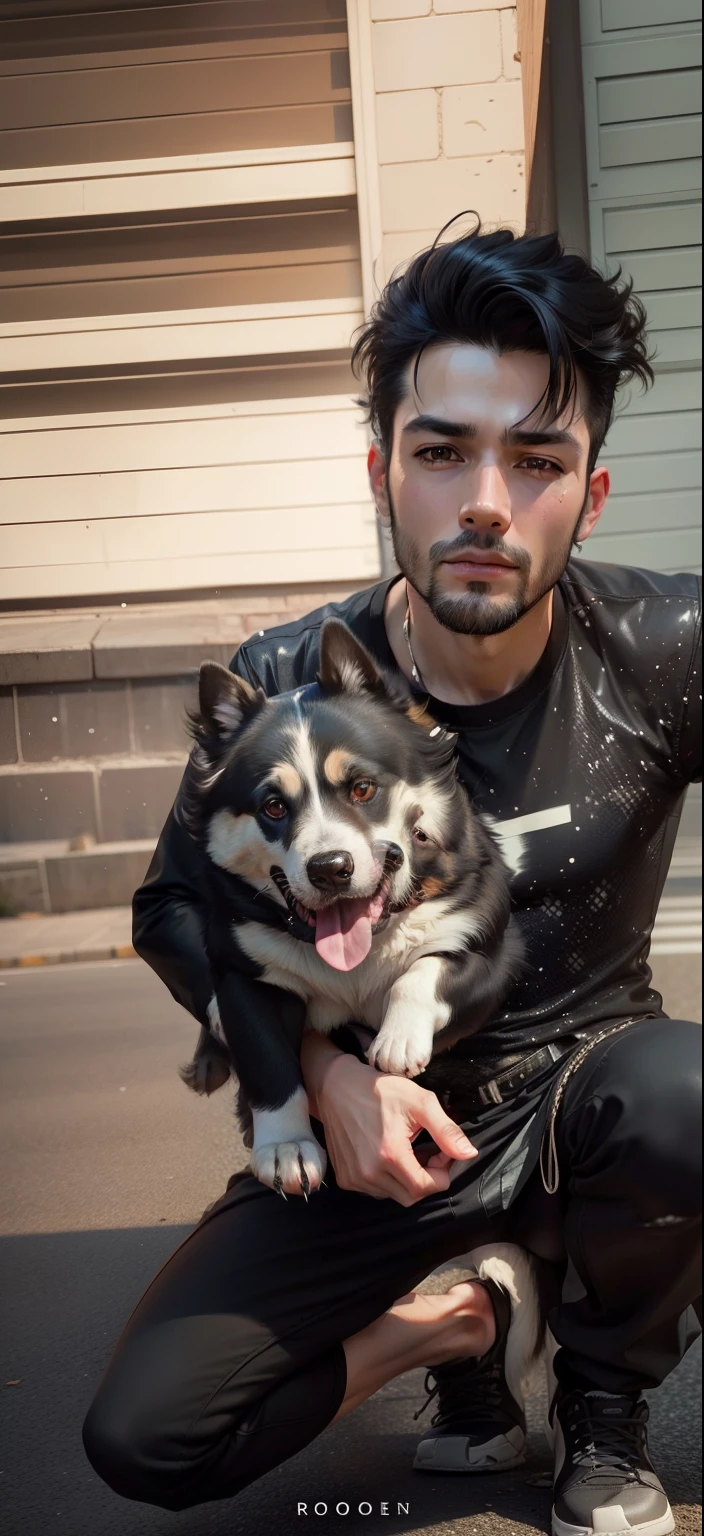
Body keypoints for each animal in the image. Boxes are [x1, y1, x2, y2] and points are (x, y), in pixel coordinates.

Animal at [176, 617, 522, 1191]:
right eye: (273, 806)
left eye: (362, 788)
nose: (330, 868)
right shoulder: (245, 975)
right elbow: (268, 1062)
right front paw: (285, 1147)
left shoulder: (487, 952)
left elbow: (424, 971)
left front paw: (398, 1039)